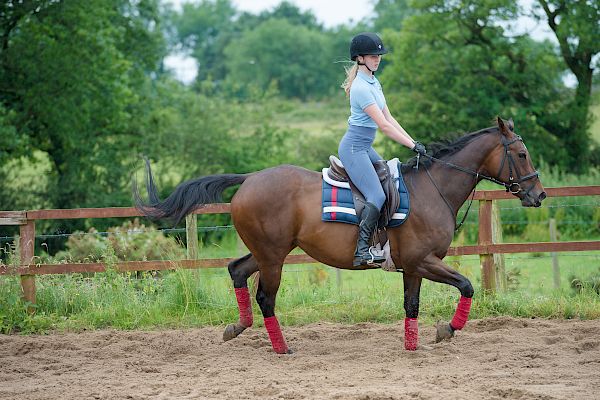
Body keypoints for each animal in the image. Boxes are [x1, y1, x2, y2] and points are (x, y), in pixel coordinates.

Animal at [134, 116, 548, 354]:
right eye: (522, 154)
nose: (539, 195)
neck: (434, 189)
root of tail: (250, 178)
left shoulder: (414, 267)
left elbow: (412, 306)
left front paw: (413, 346)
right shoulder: (424, 262)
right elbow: (467, 286)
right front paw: (446, 330)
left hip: (270, 252)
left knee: (237, 270)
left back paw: (237, 328)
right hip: (273, 258)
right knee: (266, 297)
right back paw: (282, 348)